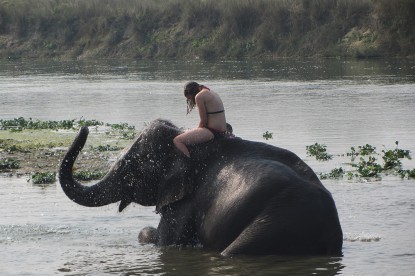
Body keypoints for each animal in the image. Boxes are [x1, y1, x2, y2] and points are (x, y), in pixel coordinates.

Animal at [59, 119, 344, 256]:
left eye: (133, 167)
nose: (84, 127)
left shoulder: (185, 203)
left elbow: (165, 242)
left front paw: (147, 233)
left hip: (274, 223)